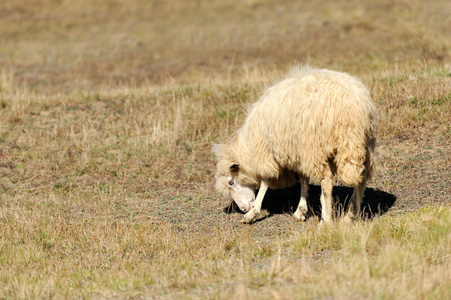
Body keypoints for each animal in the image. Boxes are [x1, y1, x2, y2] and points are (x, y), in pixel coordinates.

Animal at [212, 66, 378, 225]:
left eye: (231, 181)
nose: (243, 208)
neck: (249, 148)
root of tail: (354, 105)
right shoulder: (297, 151)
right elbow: (303, 178)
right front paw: (301, 210)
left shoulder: (269, 153)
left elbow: (266, 181)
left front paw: (252, 213)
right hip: (360, 146)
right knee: (361, 180)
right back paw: (351, 215)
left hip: (317, 146)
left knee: (327, 183)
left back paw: (326, 220)